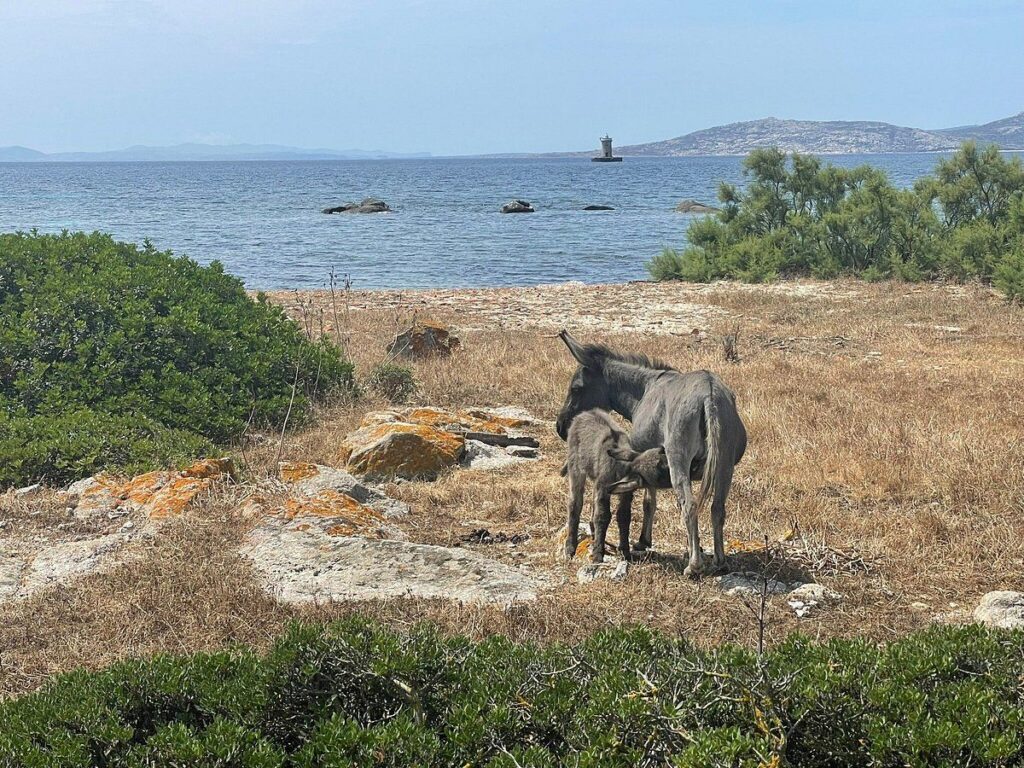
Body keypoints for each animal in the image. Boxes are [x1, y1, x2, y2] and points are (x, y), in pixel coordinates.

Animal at [555, 330, 747, 578]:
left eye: (576, 388)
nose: (560, 427)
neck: (645, 389)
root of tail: (710, 395)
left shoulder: (645, 455)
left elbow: (649, 501)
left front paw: (643, 541)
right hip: (725, 466)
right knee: (717, 508)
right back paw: (719, 562)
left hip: (678, 461)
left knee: (690, 505)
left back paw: (693, 566)